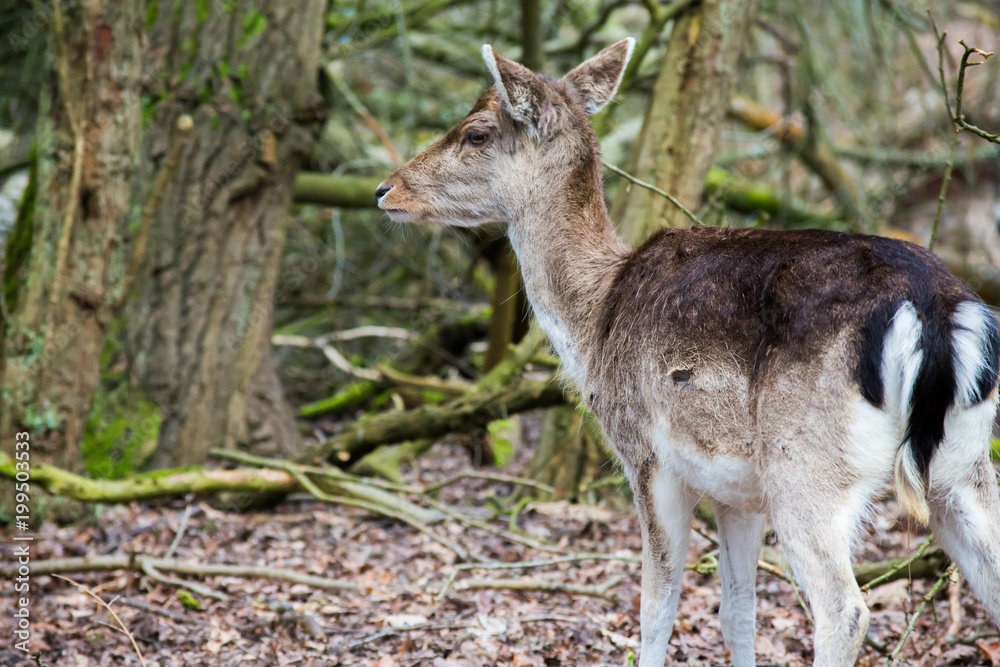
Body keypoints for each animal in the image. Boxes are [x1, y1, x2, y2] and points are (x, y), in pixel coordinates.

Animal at [374, 39, 1000, 664]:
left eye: (476, 132)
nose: (385, 189)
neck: (596, 317)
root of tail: (934, 313)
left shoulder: (646, 454)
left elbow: (655, 606)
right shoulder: (737, 492)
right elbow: (738, 612)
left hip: (805, 464)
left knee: (843, 610)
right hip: (963, 464)